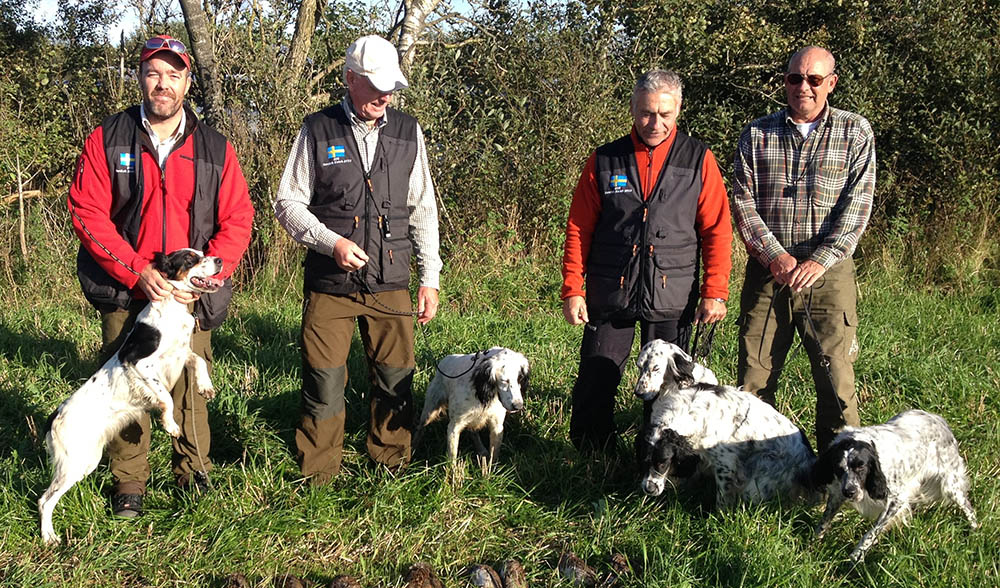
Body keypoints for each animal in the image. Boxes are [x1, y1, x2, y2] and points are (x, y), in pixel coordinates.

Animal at [636, 342, 816, 508]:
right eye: (644, 461)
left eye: (663, 463)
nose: (649, 489)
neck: (689, 412)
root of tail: (808, 459)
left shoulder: (725, 464)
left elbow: (722, 499)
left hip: (758, 482)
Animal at [812, 406, 976, 564]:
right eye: (838, 467)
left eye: (861, 466)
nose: (849, 492)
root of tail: (939, 420)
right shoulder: (837, 493)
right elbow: (824, 521)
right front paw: (814, 544)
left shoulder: (896, 500)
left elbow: (871, 533)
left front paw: (856, 555)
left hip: (951, 485)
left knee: (970, 510)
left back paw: (974, 532)